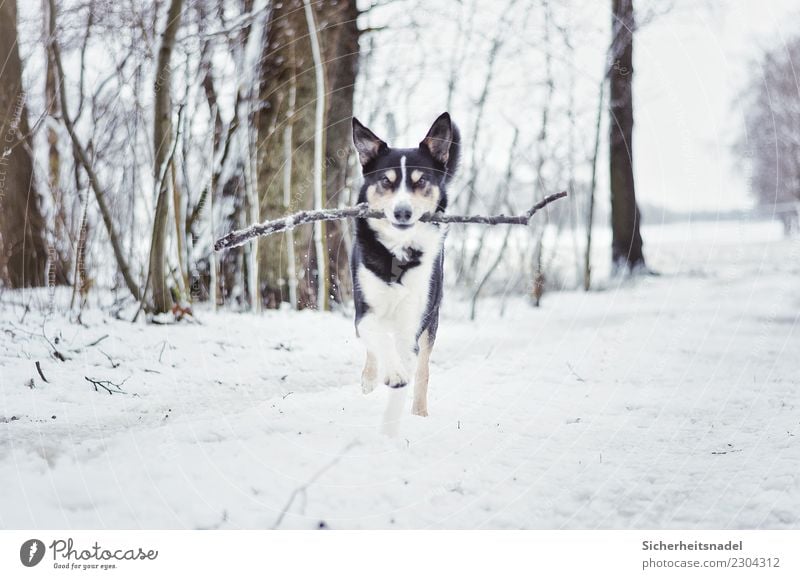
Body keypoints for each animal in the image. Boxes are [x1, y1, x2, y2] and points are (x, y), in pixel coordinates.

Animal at [352, 112, 462, 416]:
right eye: (385, 181)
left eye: (421, 181)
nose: (403, 212)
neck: (398, 253)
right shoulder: (364, 309)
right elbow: (377, 338)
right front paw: (389, 374)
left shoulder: (416, 317)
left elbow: (411, 361)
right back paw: (370, 379)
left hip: (431, 320)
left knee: (423, 370)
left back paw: (419, 414)